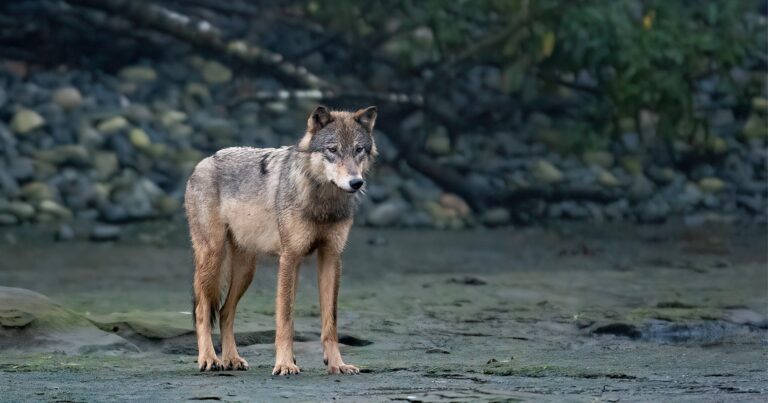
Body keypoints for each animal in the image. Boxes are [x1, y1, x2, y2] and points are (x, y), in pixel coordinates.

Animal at [184, 105, 377, 375]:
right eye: (332, 149)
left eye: (359, 149)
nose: (355, 182)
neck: (323, 201)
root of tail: (204, 161)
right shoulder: (289, 257)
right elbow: (285, 318)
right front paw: (285, 364)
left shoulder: (331, 257)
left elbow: (331, 321)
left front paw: (337, 364)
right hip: (213, 258)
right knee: (203, 310)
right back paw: (210, 359)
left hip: (246, 272)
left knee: (224, 312)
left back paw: (232, 359)